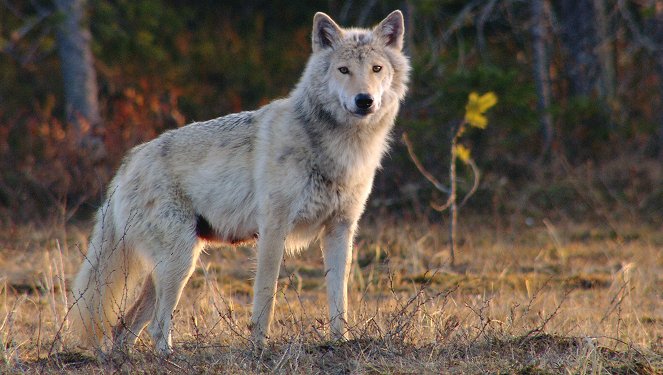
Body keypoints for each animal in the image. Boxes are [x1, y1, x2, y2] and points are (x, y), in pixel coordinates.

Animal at [71, 9, 410, 356]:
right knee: (155, 326)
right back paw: (169, 356)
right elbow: (265, 297)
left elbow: (338, 298)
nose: (364, 100)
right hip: (180, 263)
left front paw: (339, 343)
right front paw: (259, 348)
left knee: (124, 328)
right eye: (344, 70)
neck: (343, 150)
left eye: (376, 69)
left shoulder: (340, 229)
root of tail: (128, 163)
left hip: (174, 265)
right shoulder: (273, 229)